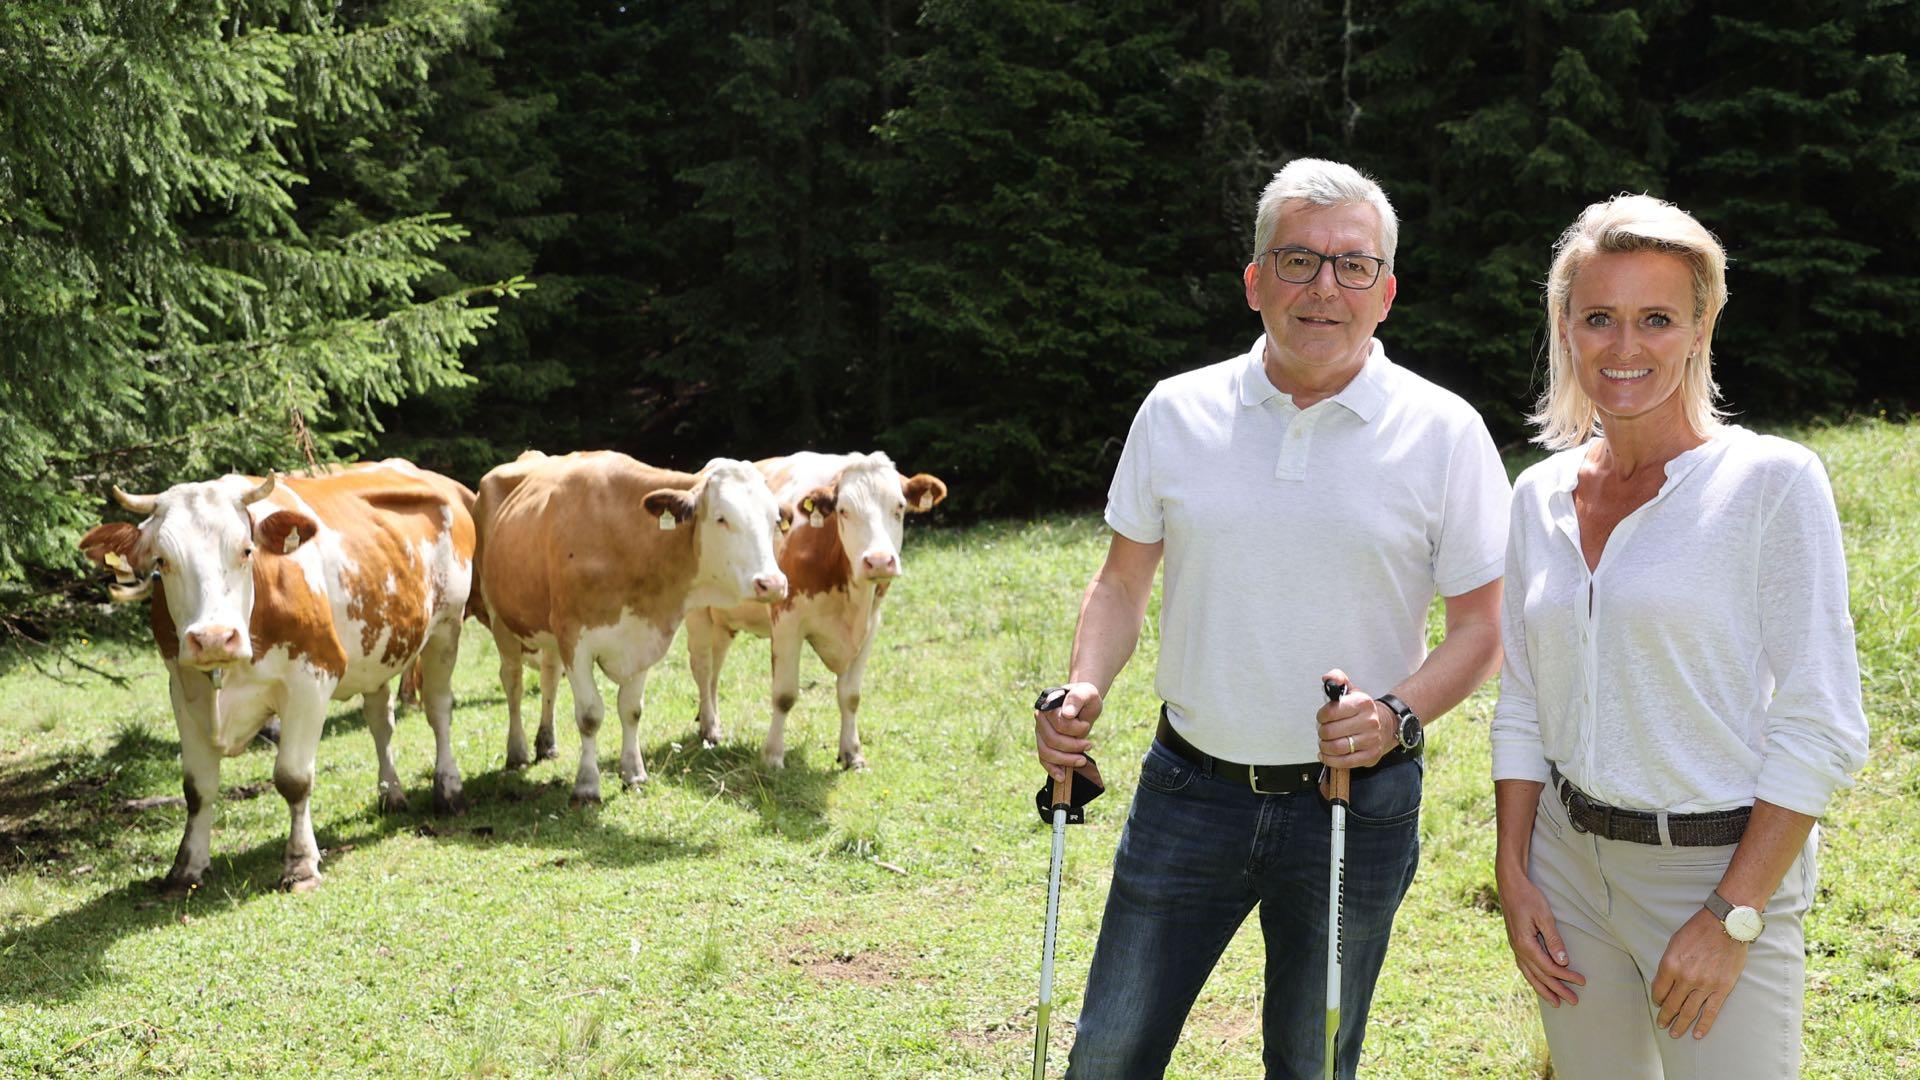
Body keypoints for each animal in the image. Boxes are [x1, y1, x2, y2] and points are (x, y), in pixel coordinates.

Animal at [78, 457, 476, 887]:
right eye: (161, 562)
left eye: (246, 550)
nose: (214, 638)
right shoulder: (183, 688)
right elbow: (197, 787)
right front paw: (187, 867)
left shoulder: (312, 678)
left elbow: (293, 778)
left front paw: (301, 865)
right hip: (379, 647)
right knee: (380, 721)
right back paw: (391, 794)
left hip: (447, 628)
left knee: (438, 710)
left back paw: (449, 791)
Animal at [472, 451, 787, 799]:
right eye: (721, 518)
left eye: (774, 520)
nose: (772, 583)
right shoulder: (574, 640)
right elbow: (590, 715)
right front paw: (587, 786)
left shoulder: (644, 637)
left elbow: (631, 709)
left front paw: (634, 773)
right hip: (500, 617)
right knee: (512, 682)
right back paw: (517, 752)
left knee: (549, 678)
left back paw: (547, 743)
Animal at [687, 449, 948, 768]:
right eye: (844, 510)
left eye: (899, 507)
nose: (878, 561)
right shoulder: (787, 622)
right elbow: (784, 694)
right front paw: (773, 756)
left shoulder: (871, 625)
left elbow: (851, 695)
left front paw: (852, 753)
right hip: (698, 612)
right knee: (703, 668)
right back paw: (709, 729)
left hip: (725, 621)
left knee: (714, 670)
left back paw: (710, 721)